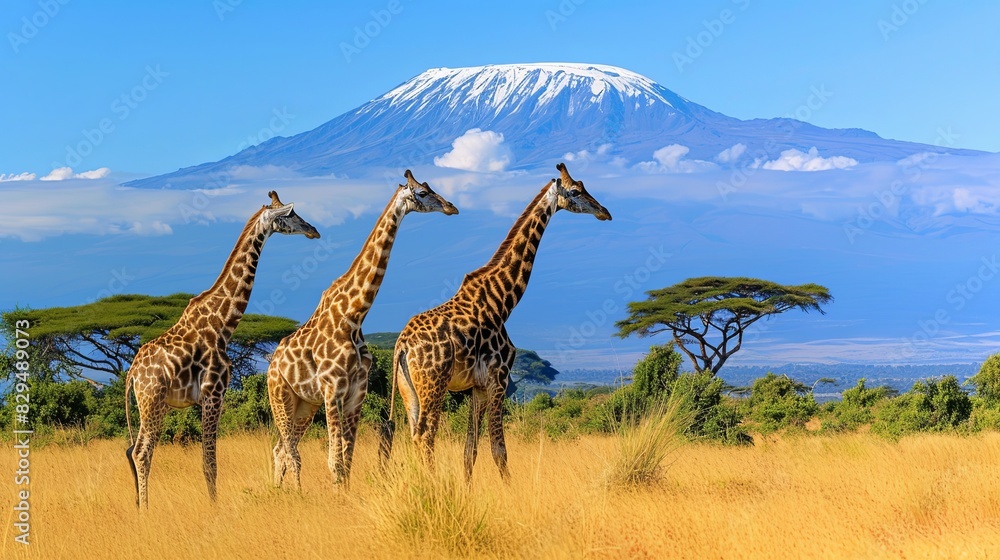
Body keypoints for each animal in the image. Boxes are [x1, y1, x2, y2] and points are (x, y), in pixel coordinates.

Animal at [125, 191, 319, 508]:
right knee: (142, 452)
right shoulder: (214, 393)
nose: (314, 230)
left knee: (133, 450)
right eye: (290, 214)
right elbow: (210, 461)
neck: (223, 324)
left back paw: (139, 505)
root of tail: (131, 374)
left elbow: (209, 459)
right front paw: (214, 508)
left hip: (156, 404)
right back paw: (146, 511)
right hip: (151, 400)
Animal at [268, 170, 458, 489]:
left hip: (305, 404)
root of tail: (271, 363)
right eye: (421, 193)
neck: (354, 315)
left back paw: (281, 492)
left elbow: (347, 460)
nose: (451, 207)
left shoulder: (357, 392)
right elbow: (334, 460)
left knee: (283, 448)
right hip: (280, 395)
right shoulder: (333, 389)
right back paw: (290, 492)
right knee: (287, 449)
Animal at [380, 163, 611, 481]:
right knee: (426, 434)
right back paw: (433, 484)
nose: (605, 211)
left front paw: (467, 489)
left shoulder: (478, 386)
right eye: (576, 191)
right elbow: (499, 449)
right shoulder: (499, 378)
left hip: (407, 388)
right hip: (434, 383)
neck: (503, 300)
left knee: (415, 432)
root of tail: (402, 345)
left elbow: (470, 451)